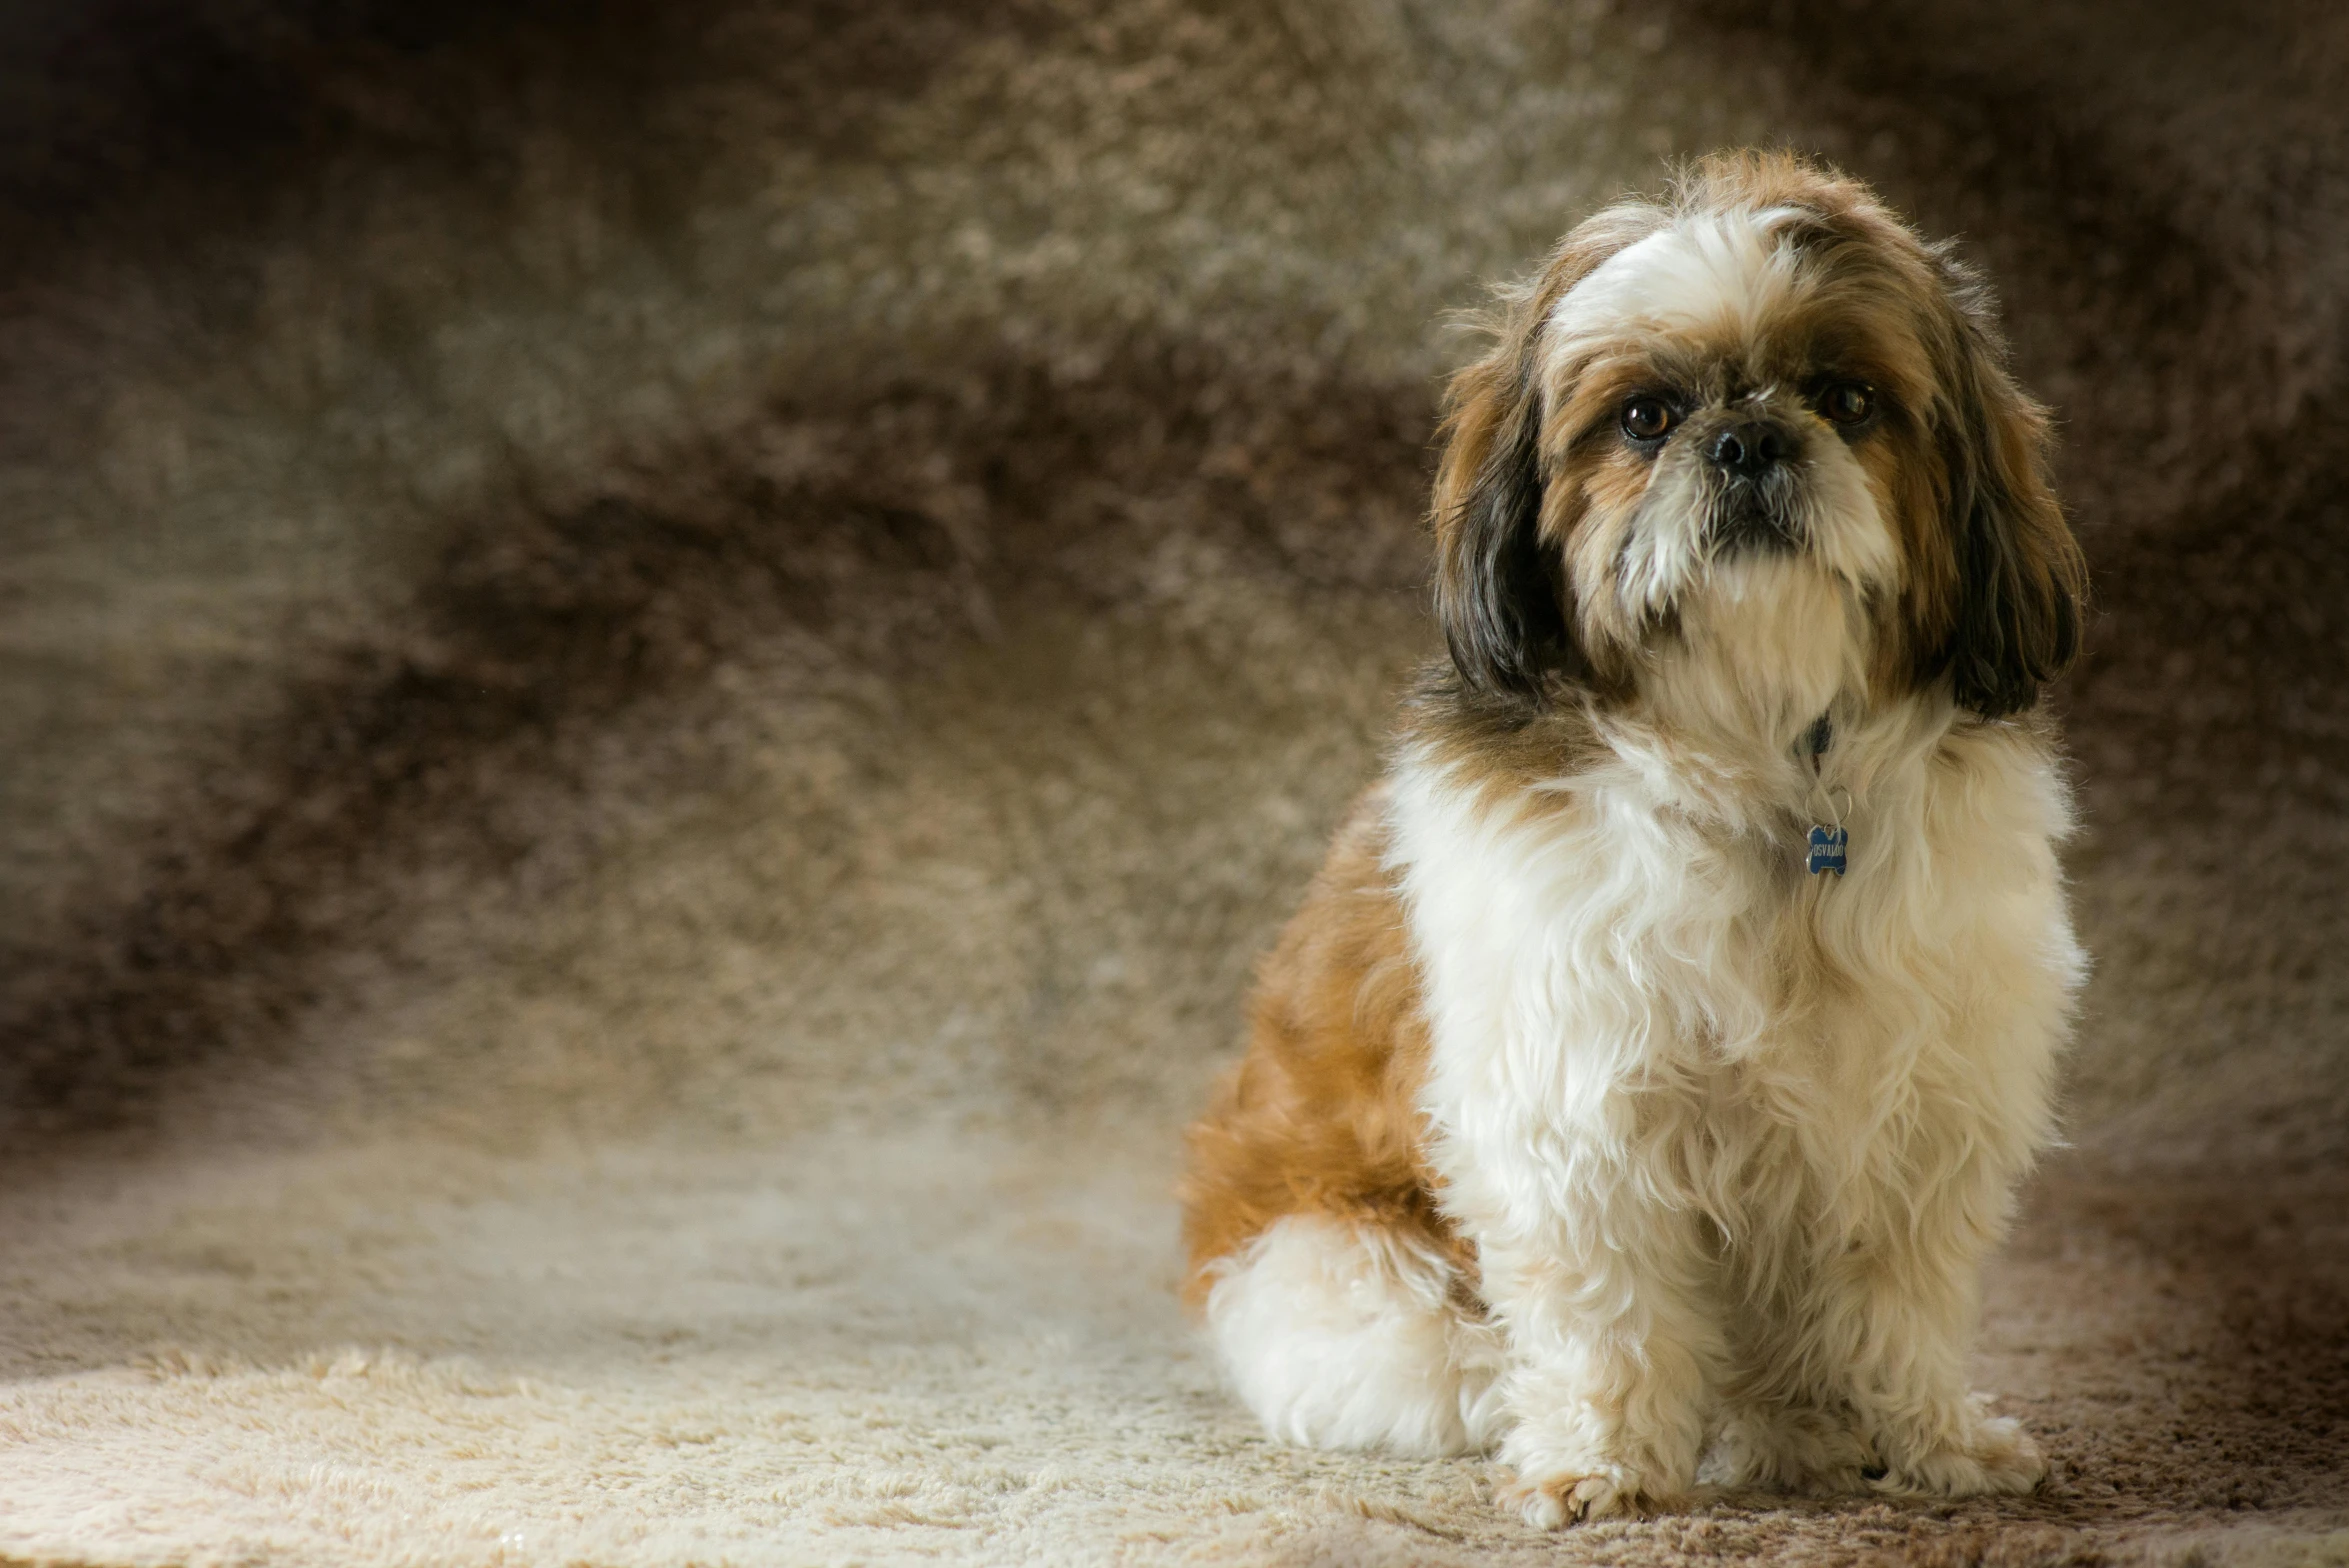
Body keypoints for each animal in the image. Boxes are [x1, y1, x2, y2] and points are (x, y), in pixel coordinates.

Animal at [1183, 150, 2085, 1530]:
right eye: (1646, 418)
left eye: (1849, 399)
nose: (1749, 438)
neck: (1768, 765)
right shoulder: (1578, 1105)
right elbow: (1604, 1303)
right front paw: (1598, 1458)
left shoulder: (1923, 1098)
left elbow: (1899, 1296)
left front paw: (1928, 1437)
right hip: (1337, 1273)